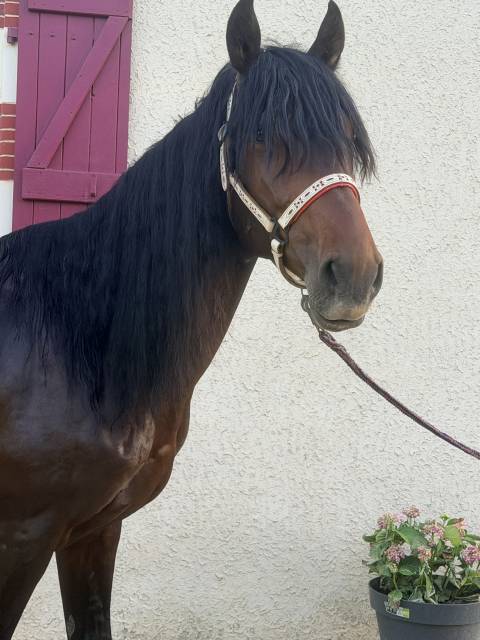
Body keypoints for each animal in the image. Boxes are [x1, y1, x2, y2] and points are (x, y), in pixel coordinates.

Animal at [0, 1, 383, 638]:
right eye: (262, 136)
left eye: (350, 140)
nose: (352, 276)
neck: (73, 347)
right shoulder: (21, 539)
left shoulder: (92, 531)